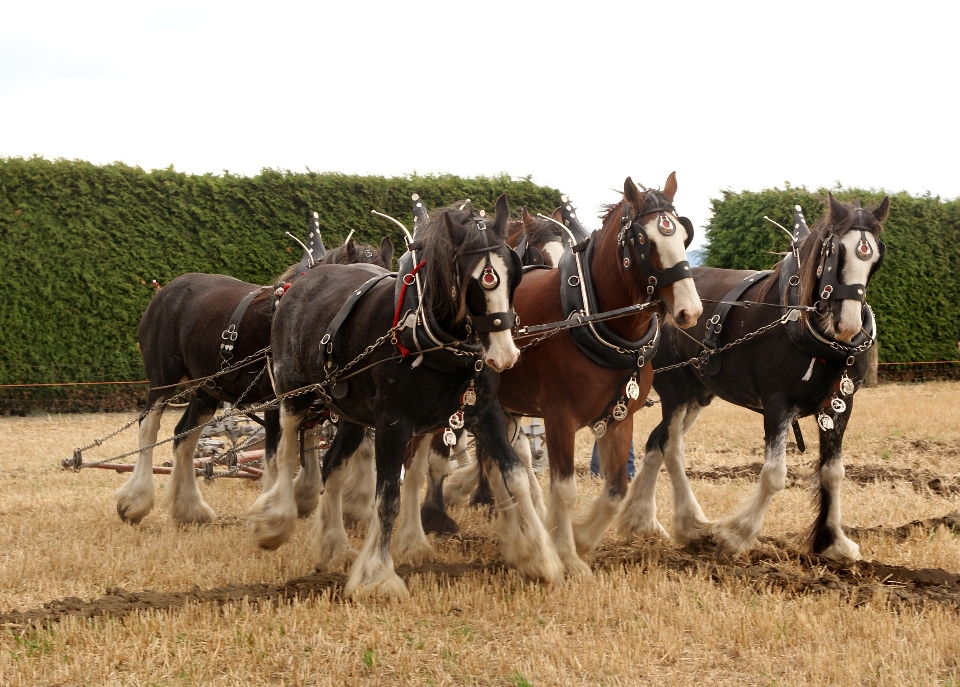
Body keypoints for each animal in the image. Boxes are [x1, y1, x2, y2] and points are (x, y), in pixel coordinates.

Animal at [114, 216, 392, 528]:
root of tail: (165, 290)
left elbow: (317, 443)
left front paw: (319, 500)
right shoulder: (276, 400)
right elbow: (275, 455)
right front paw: (273, 510)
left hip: (206, 390)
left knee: (184, 435)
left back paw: (189, 509)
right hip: (163, 378)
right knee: (149, 427)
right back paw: (135, 501)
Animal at [260, 195, 564, 596]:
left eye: (513, 272)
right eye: (472, 278)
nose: (504, 354)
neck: (427, 332)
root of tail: (298, 285)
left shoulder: (484, 413)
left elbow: (514, 474)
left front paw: (540, 558)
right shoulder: (394, 422)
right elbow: (387, 495)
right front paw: (376, 576)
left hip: (351, 414)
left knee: (334, 467)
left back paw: (334, 545)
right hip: (293, 391)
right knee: (285, 447)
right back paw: (277, 519)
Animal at [392, 173, 704, 576]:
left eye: (683, 234)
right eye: (643, 240)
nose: (689, 310)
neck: (592, 318)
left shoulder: (620, 417)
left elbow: (616, 489)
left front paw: (580, 537)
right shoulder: (559, 416)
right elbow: (564, 487)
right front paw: (566, 553)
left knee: (495, 463)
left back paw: (515, 535)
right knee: (416, 467)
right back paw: (414, 538)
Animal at [624, 191, 892, 560]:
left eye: (876, 256)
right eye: (835, 251)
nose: (848, 324)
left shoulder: (840, 404)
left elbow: (834, 472)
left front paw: (834, 540)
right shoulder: (778, 404)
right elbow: (775, 475)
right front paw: (737, 535)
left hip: (697, 395)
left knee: (656, 441)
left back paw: (642, 521)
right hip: (675, 391)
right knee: (670, 447)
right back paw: (690, 525)